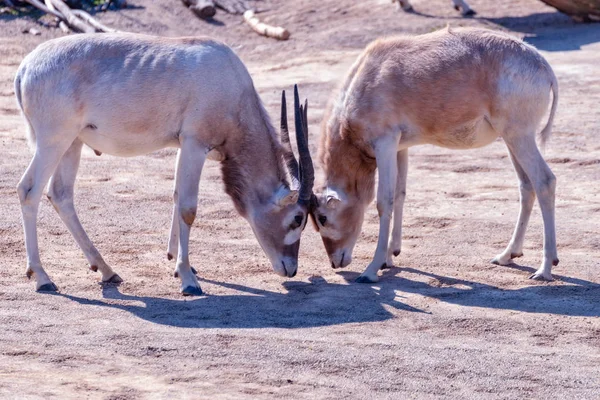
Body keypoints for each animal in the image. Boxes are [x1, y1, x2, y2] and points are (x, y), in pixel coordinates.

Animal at [15, 33, 314, 296]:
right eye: (297, 218)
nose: (291, 269)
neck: (231, 83)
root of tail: (26, 66)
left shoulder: (184, 145)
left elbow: (176, 195)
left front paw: (179, 263)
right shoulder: (195, 144)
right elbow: (188, 208)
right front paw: (188, 279)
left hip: (73, 143)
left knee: (61, 194)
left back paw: (106, 270)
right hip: (54, 140)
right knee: (29, 190)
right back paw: (42, 277)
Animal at [312, 26, 560, 282]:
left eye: (322, 217)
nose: (335, 262)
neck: (367, 77)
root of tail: (543, 66)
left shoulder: (385, 143)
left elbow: (384, 201)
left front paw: (371, 270)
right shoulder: (400, 147)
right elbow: (400, 194)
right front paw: (390, 257)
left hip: (519, 136)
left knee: (544, 181)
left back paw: (545, 268)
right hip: (511, 138)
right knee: (526, 186)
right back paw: (507, 255)